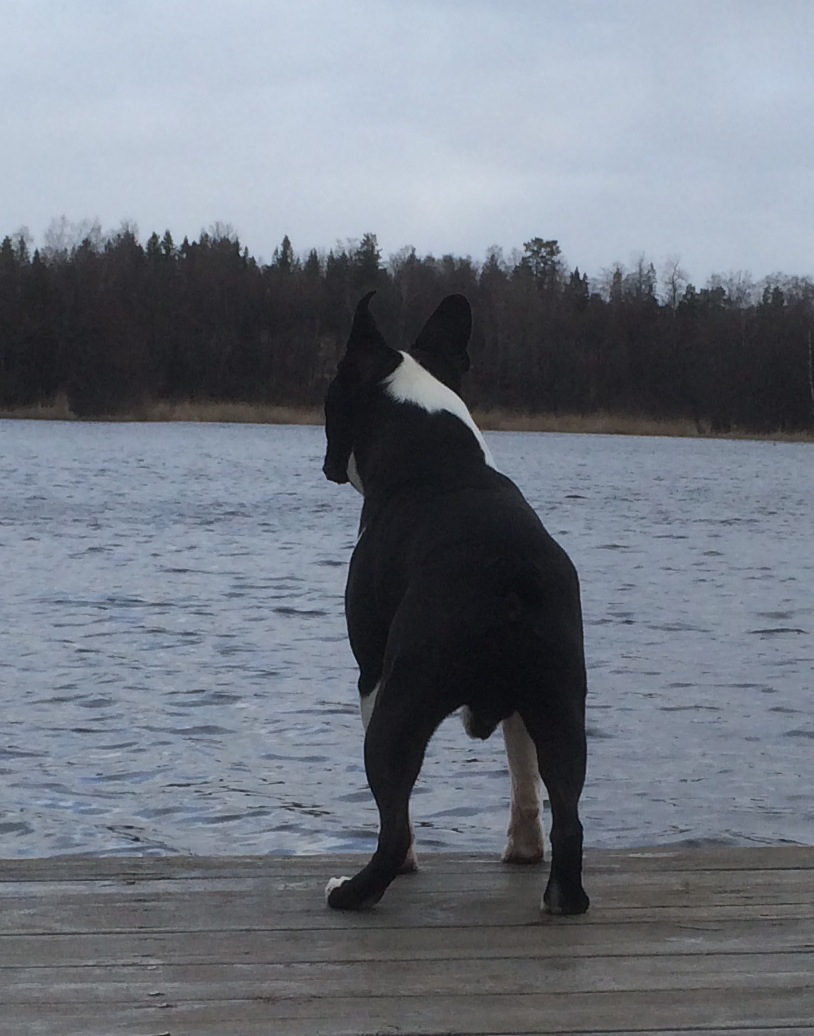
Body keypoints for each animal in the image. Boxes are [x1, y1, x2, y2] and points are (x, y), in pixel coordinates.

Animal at [322, 292, 589, 915]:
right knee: (569, 814)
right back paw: (563, 896)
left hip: (401, 706)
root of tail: (509, 573)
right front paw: (522, 850)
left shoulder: (372, 673)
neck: (434, 454)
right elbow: (522, 776)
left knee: (393, 826)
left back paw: (352, 891)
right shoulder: (526, 707)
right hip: (562, 700)